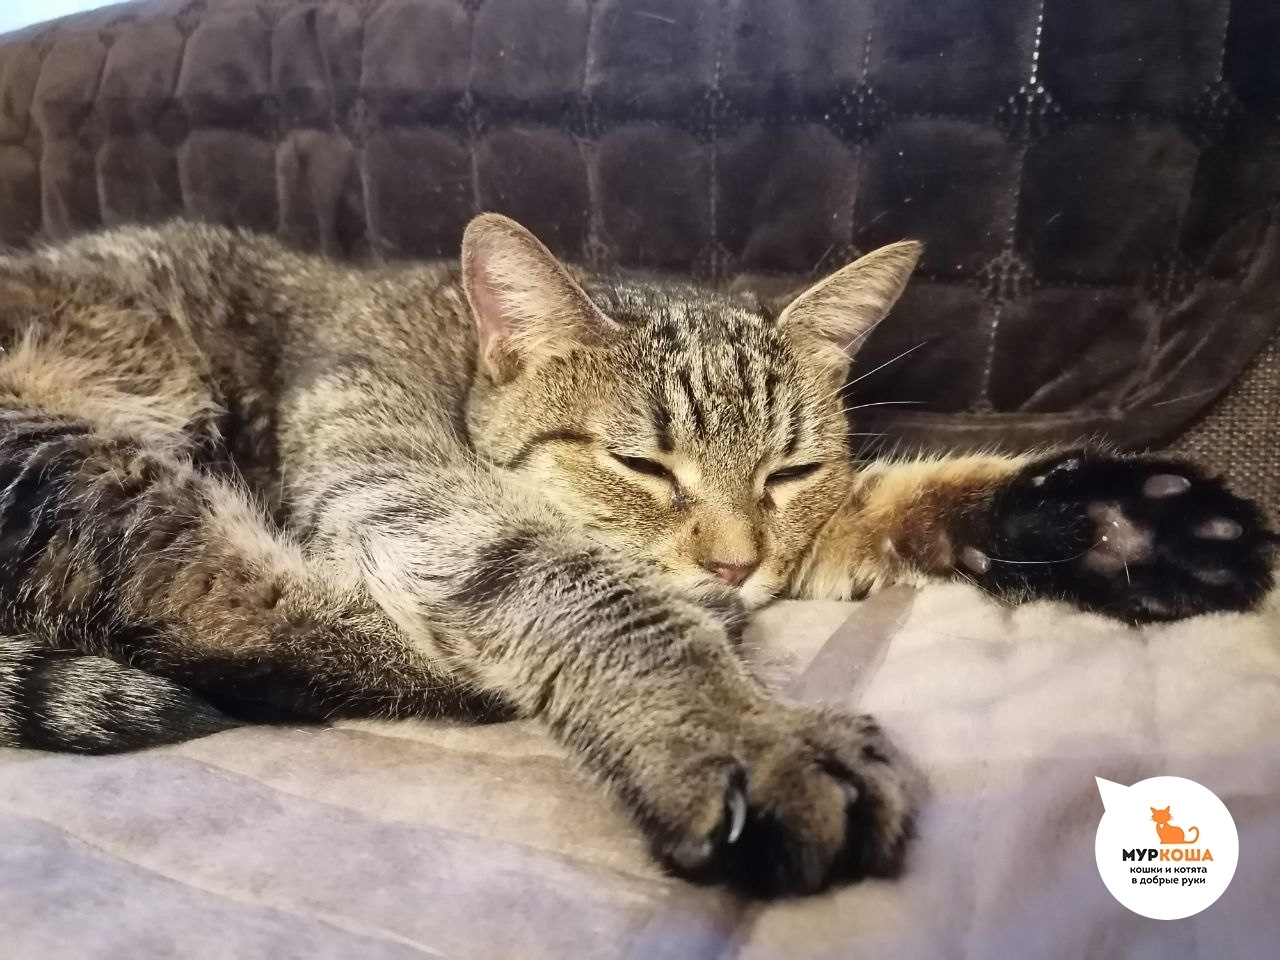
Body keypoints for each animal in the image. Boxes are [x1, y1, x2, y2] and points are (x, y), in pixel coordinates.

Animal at [0, 213, 1271, 897]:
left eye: (785, 471)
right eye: (643, 465)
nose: (733, 566)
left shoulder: (811, 526)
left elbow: (892, 501)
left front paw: (1119, 519)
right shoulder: (396, 481)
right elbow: (572, 583)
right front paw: (741, 730)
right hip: (70, 458)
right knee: (236, 616)